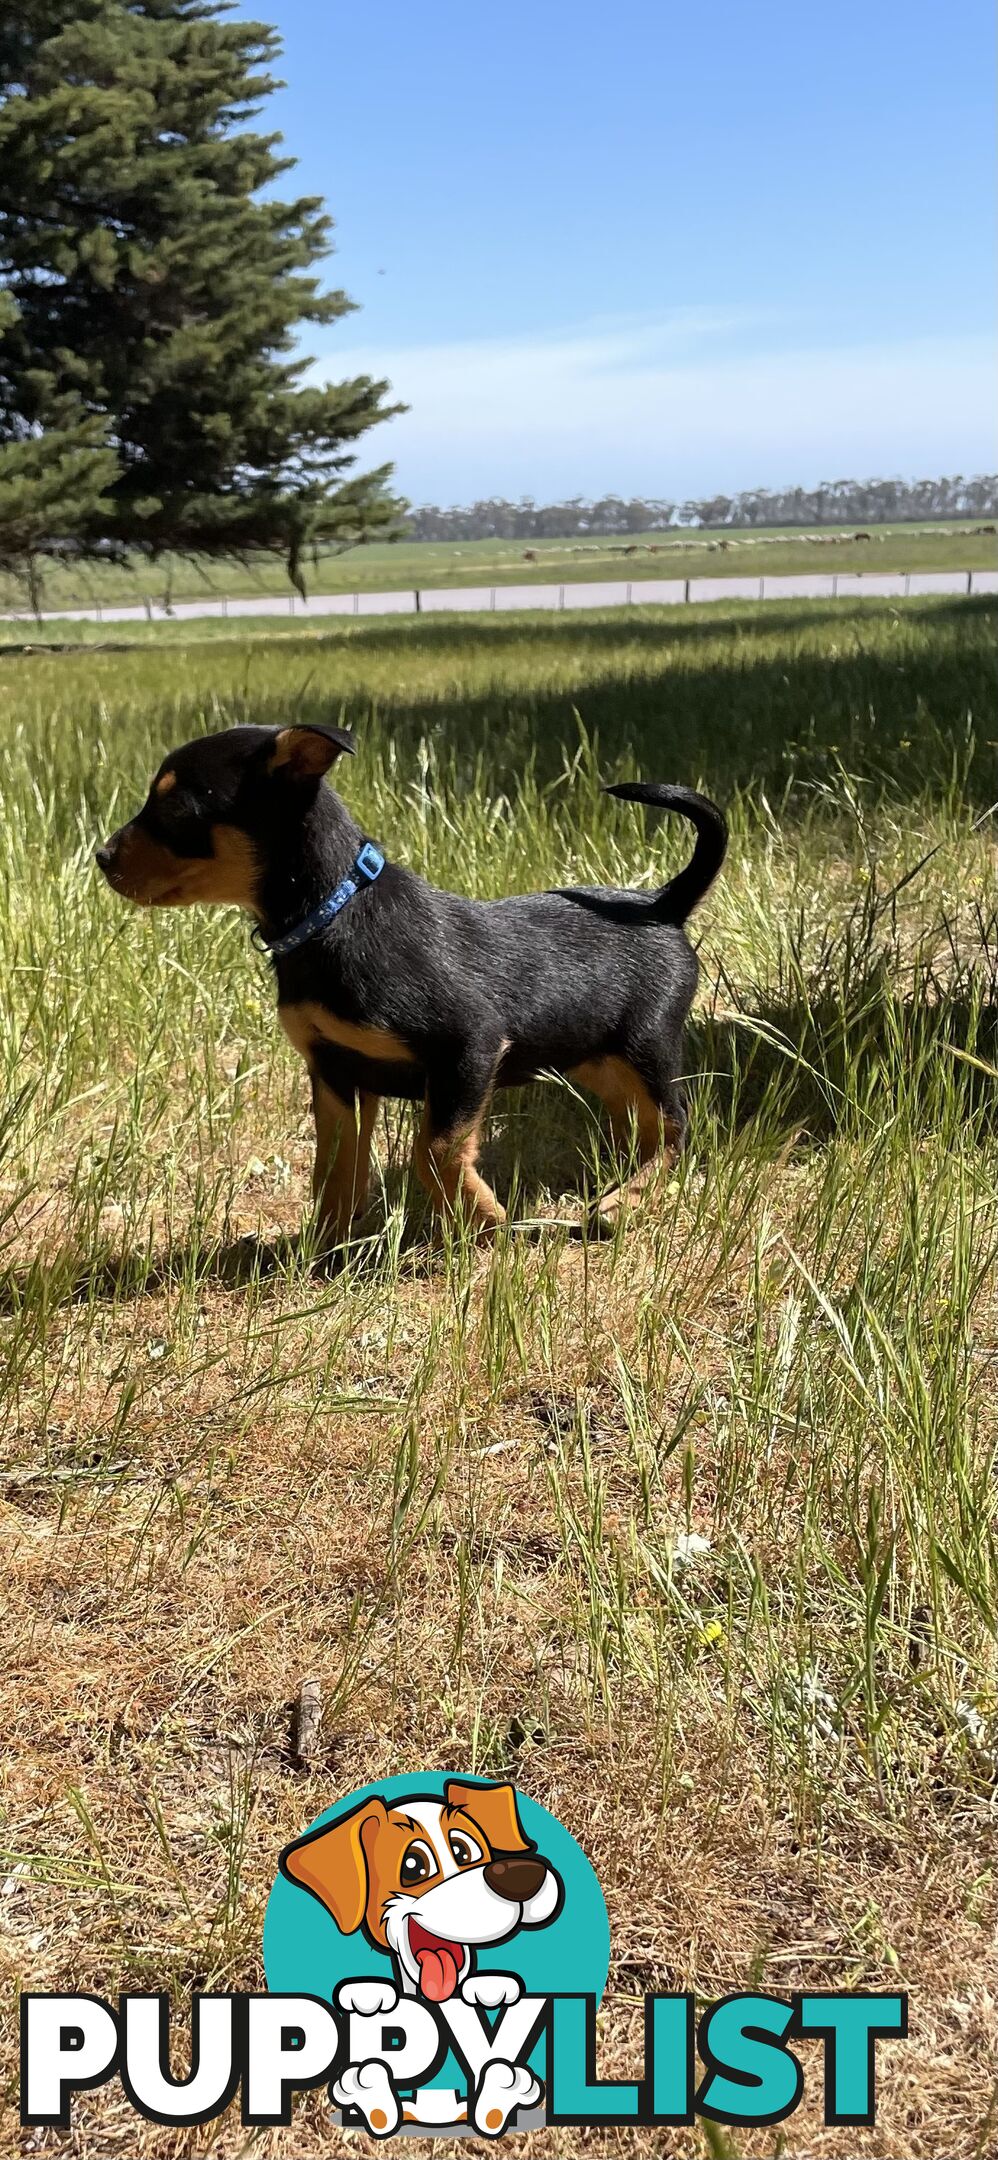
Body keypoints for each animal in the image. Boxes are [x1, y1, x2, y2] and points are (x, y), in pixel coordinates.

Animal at [97, 721, 725, 1244]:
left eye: (176, 808)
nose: (101, 856)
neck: (332, 914)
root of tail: (662, 905)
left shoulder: (469, 1048)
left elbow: (435, 1148)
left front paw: (482, 1221)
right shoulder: (335, 1073)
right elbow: (335, 1166)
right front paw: (323, 1248)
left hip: (647, 1046)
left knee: (676, 1126)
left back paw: (625, 1201)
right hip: (593, 1055)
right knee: (641, 1125)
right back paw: (619, 1184)